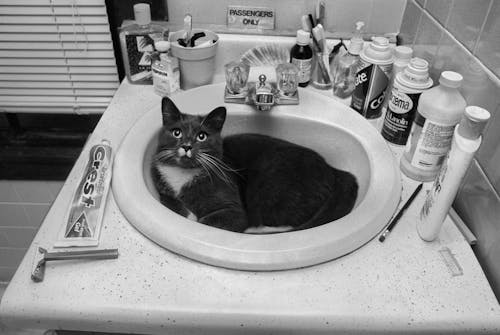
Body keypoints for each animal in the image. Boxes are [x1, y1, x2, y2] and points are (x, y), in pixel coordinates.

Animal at [150, 97, 248, 234]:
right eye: (176, 132)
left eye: (202, 136)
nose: (186, 146)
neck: (183, 172)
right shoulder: (161, 185)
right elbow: (168, 199)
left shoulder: (233, 211)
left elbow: (208, 222)